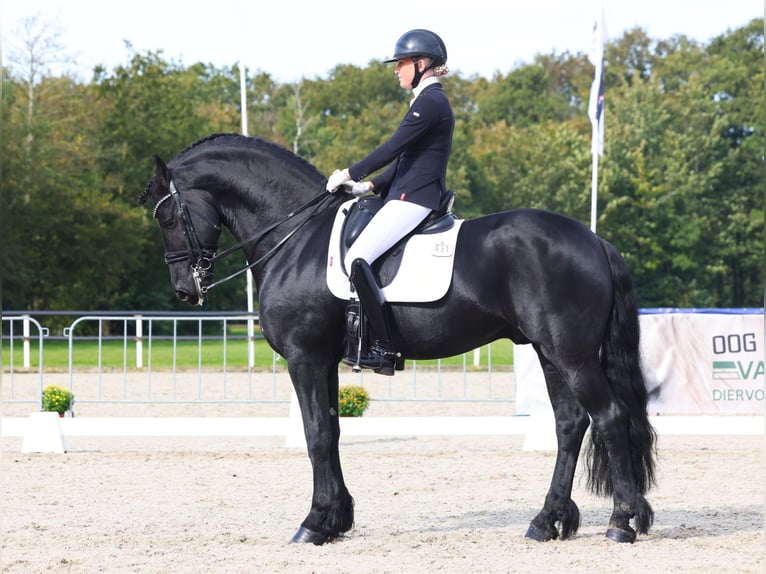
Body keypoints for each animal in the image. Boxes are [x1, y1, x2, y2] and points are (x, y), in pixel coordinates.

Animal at [141, 133, 656, 548]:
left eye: (167, 218)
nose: (186, 290)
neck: (296, 237)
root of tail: (594, 240)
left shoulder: (304, 358)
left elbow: (316, 435)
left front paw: (314, 523)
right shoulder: (325, 361)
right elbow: (332, 432)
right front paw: (336, 520)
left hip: (572, 355)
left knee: (609, 418)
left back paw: (622, 522)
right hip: (550, 353)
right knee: (570, 424)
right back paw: (547, 521)